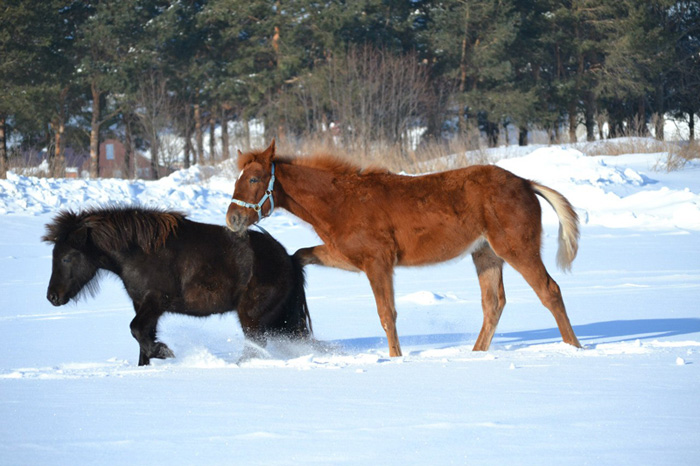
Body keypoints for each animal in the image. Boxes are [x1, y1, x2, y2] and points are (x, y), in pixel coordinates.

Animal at [41, 207, 308, 364]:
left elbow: (136, 330)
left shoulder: (156, 301)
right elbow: (142, 338)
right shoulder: (142, 305)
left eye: (67, 258)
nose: (52, 296)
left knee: (255, 347)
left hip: (251, 318)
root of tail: (289, 259)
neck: (138, 252)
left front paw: (163, 352)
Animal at [227, 140, 584, 354]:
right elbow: (300, 256)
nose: (232, 218)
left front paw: (395, 359)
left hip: (516, 249)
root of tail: (525, 183)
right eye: (237, 178)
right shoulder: (349, 257)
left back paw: (574, 348)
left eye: (255, 179)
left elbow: (387, 314)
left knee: (549, 291)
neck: (342, 202)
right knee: (493, 304)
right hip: (485, 254)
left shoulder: (378, 262)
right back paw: (476, 354)